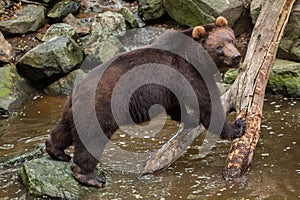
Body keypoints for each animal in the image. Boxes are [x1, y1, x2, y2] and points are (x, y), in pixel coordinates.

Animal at [45, 16, 246, 188]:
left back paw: (56, 150)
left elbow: (178, 107)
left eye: (232, 40)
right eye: (219, 47)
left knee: (64, 129)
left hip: (73, 109)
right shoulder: (186, 73)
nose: (236, 57)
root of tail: (76, 91)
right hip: (100, 109)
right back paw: (89, 176)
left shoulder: (171, 88)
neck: (196, 58)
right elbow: (207, 104)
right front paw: (237, 126)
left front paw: (191, 119)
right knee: (92, 138)